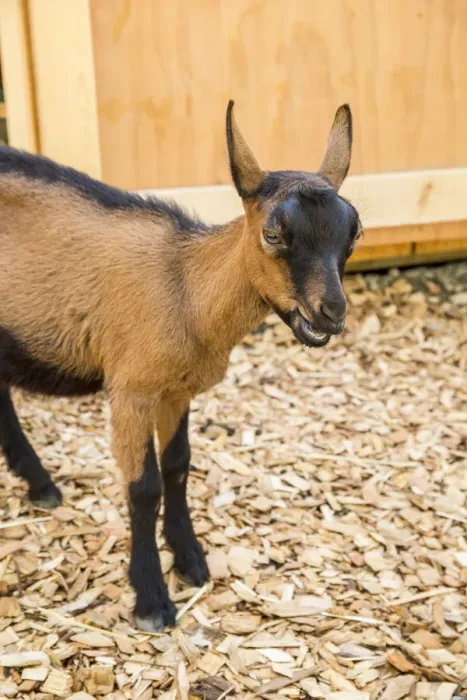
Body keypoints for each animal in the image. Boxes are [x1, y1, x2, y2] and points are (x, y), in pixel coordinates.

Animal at [0, 102, 361, 631]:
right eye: (273, 233)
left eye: (354, 234)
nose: (330, 313)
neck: (185, 288)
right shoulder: (131, 389)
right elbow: (143, 486)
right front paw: (151, 599)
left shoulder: (177, 390)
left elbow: (177, 466)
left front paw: (190, 559)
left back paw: (40, 483)